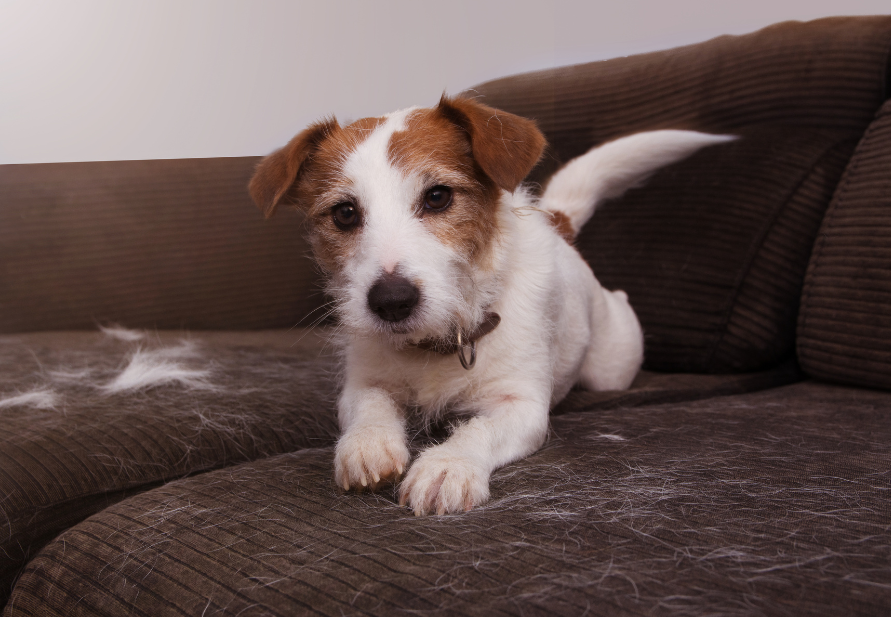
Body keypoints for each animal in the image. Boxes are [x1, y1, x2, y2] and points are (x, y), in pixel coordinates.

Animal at [249, 96, 732, 512]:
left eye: (438, 196)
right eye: (345, 213)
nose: (392, 302)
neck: (440, 341)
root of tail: (557, 224)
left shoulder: (522, 406)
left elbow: (479, 428)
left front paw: (447, 465)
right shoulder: (365, 383)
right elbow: (370, 407)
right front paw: (368, 444)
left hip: (612, 367)